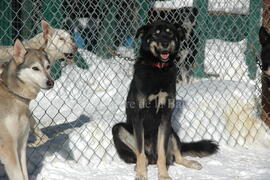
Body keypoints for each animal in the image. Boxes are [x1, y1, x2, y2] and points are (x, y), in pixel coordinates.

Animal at [0, 39, 53, 179]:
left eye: (48, 67)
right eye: (35, 68)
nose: (51, 82)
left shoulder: (21, 145)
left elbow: (24, 174)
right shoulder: (8, 149)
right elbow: (18, 175)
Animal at [112, 21, 219, 180]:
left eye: (170, 33)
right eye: (155, 33)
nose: (165, 43)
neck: (159, 68)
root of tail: (152, 156)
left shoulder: (165, 118)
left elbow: (162, 155)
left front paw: (163, 175)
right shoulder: (138, 117)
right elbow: (140, 153)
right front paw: (141, 174)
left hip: (172, 132)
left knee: (176, 157)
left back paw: (191, 163)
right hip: (118, 128)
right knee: (143, 156)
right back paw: (139, 166)